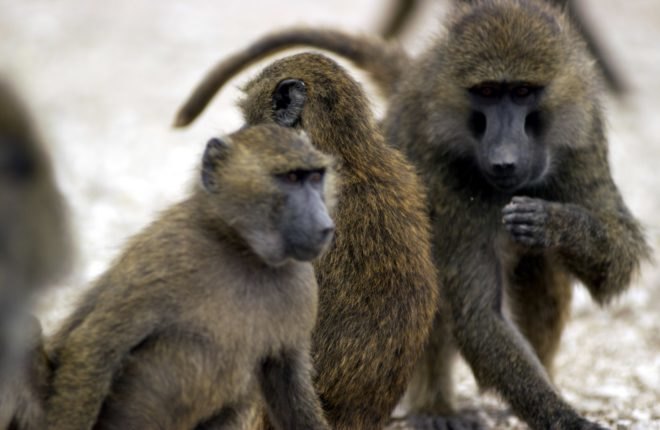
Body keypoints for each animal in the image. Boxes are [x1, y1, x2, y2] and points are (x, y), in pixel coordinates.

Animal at [45, 124, 335, 430]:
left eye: (316, 178)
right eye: (291, 178)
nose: (326, 226)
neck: (242, 249)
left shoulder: (303, 285)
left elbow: (289, 386)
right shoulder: (167, 253)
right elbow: (96, 345)